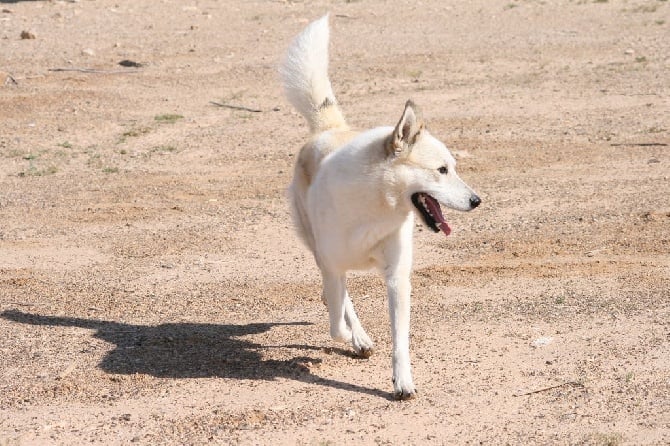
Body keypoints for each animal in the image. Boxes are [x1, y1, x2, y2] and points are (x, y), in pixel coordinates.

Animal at [280, 14, 480, 400]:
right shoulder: (332, 264)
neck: (375, 206)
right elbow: (337, 321)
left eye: (453, 167)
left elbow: (400, 338)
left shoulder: (397, 277)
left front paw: (403, 382)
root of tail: (329, 129)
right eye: (442, 170)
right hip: (315, 246)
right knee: (339, 301)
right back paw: (357, 336)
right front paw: (354, 336)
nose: (477, 201)